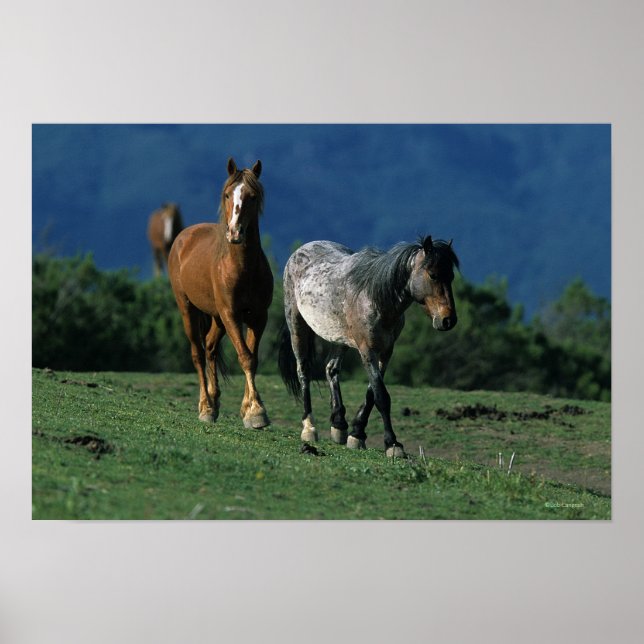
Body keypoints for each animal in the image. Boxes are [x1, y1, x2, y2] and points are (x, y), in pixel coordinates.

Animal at [168, 158, 273, 428]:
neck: (242, 267)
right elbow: (245, 356)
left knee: (210, 347)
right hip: (188, 309)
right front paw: (257, 412)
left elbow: (252, 358)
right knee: (197, 352)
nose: (235, 232)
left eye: (253, 196)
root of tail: (182, 237)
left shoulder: (258, 317)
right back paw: (205, 406)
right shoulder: (231, 314)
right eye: (227, 194)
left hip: (217, 318)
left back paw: (214, 403)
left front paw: (249, 409)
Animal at [278, 236, 459, 457]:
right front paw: (392, 444)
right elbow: (381, 396)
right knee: (303, 371)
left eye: (451, 276)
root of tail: (301, 250)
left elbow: (371, 394)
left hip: (340, 338)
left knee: (331, 369)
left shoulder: (386, 352)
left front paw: (357, 434)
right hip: (297, 325)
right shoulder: (367, 350)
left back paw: (339, 424)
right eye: (433, 275)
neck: (375, 298)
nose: (448, 320)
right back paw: (309, 428)